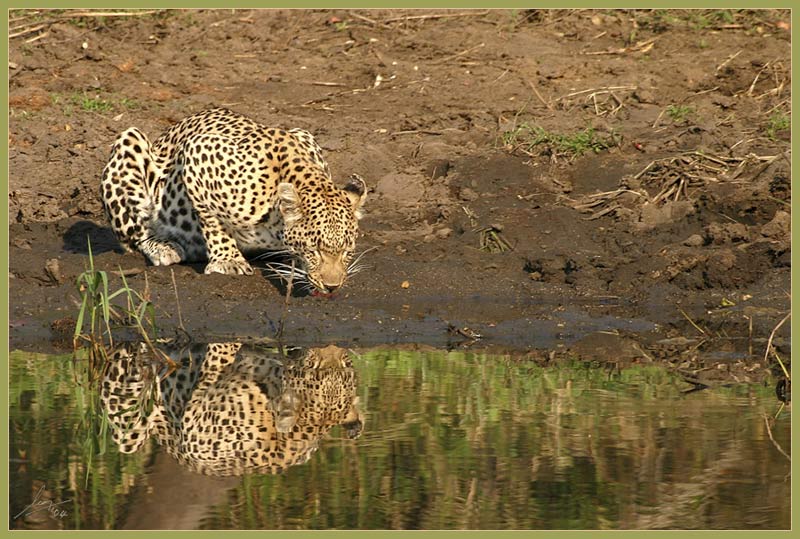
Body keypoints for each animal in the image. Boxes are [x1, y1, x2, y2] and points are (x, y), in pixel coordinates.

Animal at [100, 108, 367, 293]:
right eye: (314, 251)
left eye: (347, 252)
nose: (332, 287)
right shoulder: (198, 152)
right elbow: (212, 221)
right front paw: (228, 260)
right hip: (129, 141)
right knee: (135, 235)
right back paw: (163, 246)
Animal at [100, 341, 363, 477]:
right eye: (312, 366)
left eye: (346, 364)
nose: (335, 347)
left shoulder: (194, 429)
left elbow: (219, 360)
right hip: (131, 434)